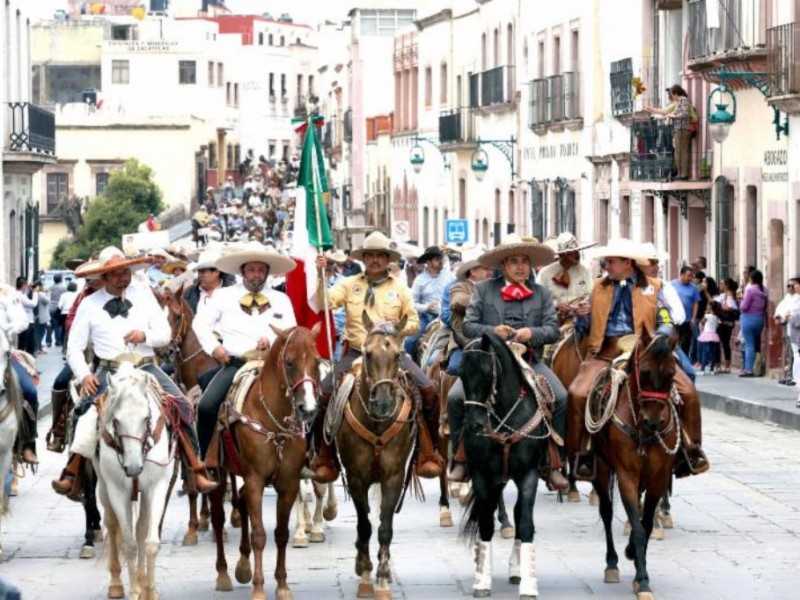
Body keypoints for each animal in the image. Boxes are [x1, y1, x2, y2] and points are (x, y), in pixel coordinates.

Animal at [94, 360, 176, 600]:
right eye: (116, 421)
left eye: (146, 419)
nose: (132, 466)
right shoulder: (117, 491)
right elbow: (129, 544)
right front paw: (134, 591)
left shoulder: (156, 488)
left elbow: (149, 542)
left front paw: (150, 590)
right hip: (103, 488)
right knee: (112, 524)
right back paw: (116, 584)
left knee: (141, 528)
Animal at [209, 326, 322, 596]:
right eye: (289, 362)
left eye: (316, 362)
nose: (308, 408)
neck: (274, 421)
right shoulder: (255, 480)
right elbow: (259, 534)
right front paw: (259, 589)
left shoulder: (288, 484)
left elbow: (281, 534)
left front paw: (282, 586)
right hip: (218, 475)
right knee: (218, 518)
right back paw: (223, 574)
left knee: (241, 504)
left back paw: (242, 565)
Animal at [334, 314, 416, 600]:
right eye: (368, 353)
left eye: (398, 354)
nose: (382, 402)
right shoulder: (356, 478)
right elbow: (365, 525)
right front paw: (366, 575)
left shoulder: (393, 477)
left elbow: (384, 527)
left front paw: (381, 577)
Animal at [460, 332, 552, 600]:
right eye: (460, 373)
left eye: (486, 372)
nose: (475, 425)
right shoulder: (482, 475)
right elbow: (485, 522)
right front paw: (482, 580)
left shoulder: (528, 474)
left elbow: (525, 522)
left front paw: (529, 586)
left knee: (519, 514)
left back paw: (516, 569)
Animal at [584, 330, 680, 596]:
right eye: (644, 372)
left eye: (672, 374)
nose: (652, 422)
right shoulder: (626, 474)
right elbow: (637, 528)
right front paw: (643, 579)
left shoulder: (658, 477)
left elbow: (645, 524)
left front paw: (639, 569)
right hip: (601, 469)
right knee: (606, 512)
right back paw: (612, 564)